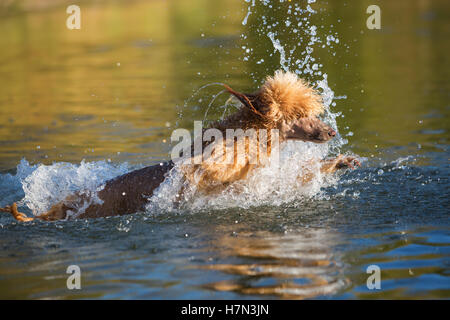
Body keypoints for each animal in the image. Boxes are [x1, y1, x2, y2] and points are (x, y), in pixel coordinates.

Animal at [0, 70, 358, 221]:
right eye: (298, 115)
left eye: (313, 112)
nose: (330, 132)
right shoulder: (211, 168)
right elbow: (207, 173)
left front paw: (340, 162)